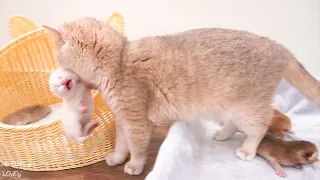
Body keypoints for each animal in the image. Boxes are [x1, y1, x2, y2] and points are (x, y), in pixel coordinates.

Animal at [43, 18, 320, 176]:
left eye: (58, 57)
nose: (59, 71)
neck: (118, 62)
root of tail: (280, 47)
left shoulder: (137, 123)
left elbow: (138, 148)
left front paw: (134, 166)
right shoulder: (123, 120)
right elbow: (122, 144)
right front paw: (118, 158)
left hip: (249, 108)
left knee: (259, 129)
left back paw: (247, 150)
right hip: (230, 105)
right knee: (233, 124)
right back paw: (222, 134)